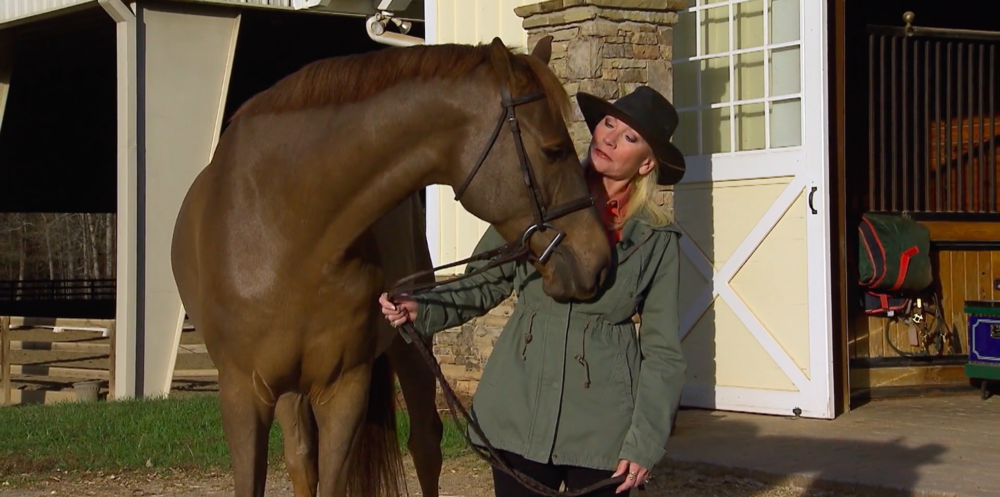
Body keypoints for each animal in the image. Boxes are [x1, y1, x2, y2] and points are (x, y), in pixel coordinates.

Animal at [168, 35, 612, 496]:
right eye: (553, 150)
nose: (600, 259)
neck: (284, 228)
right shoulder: (242, 395)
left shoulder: (344, 388)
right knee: (300, 459)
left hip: (410, 348)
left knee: (425, 444)